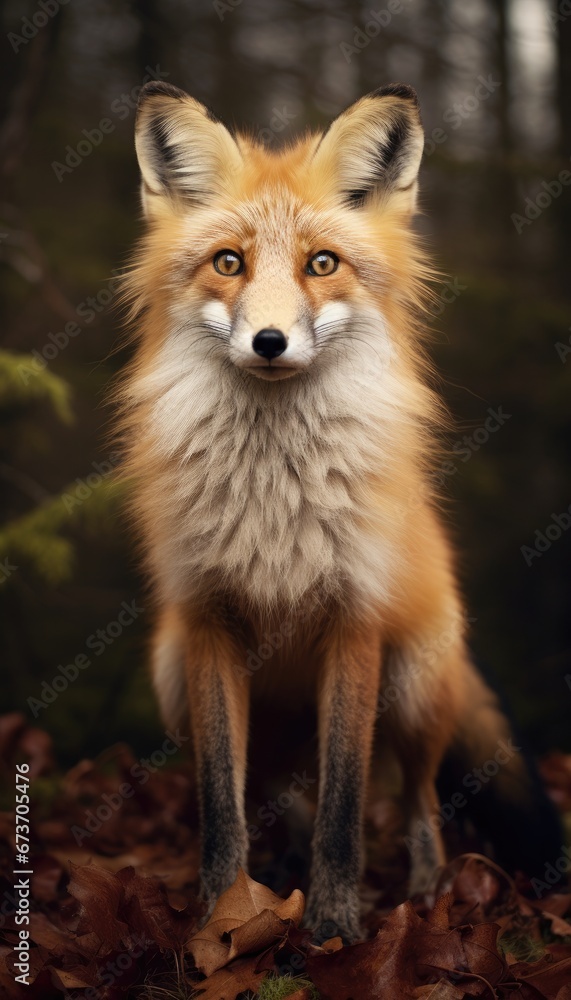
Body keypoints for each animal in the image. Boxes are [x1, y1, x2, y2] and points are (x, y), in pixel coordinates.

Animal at [117, 80, 561, 942]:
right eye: (229, 263)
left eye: (320, 263)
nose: (268, 341)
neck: (273, 497)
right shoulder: (208, 623)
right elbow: (222, 811)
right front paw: (219, 921)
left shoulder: (354, 622)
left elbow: (347, 808)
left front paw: (332, 928)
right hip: (174, 674)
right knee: (279, 798)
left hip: (414, 687)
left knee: (416, 802)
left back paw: (425, 895)